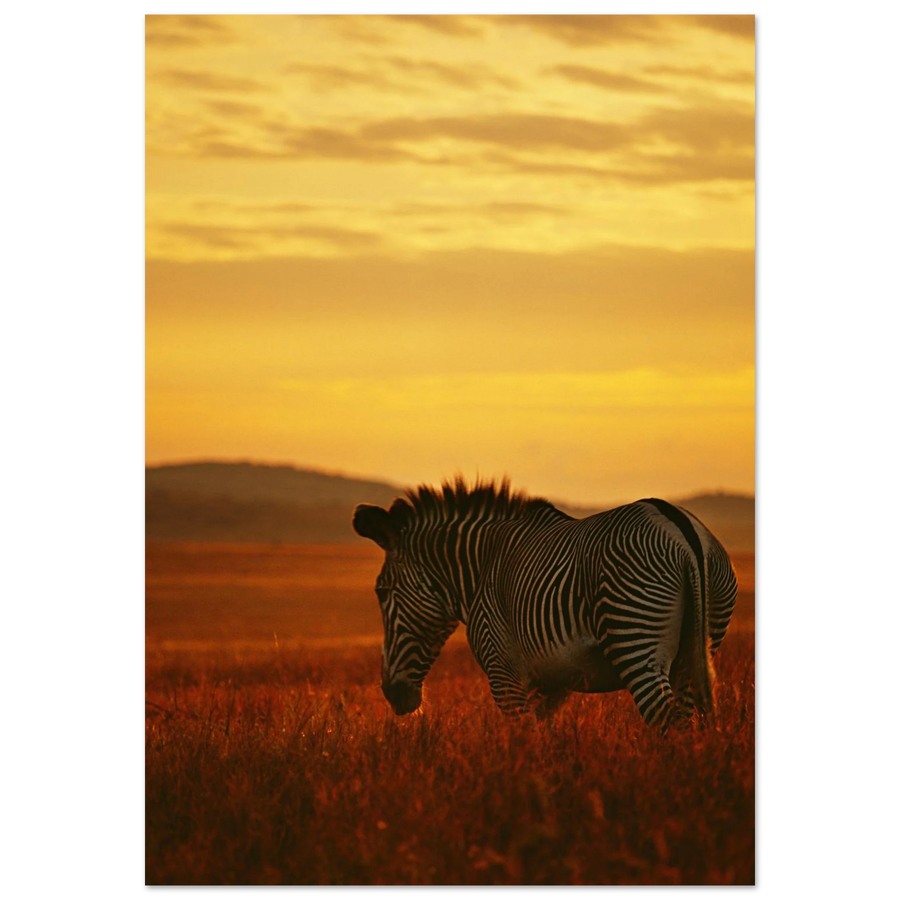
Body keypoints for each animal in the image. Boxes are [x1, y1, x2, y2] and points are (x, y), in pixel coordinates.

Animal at [352, 479, 737, 730]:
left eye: (381, 592)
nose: (394, 696)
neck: (482, 565)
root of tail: (683, 532)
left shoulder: (504, 673)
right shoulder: (552, 684)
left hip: (636, 638)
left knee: (666, 723)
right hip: (698, 647)